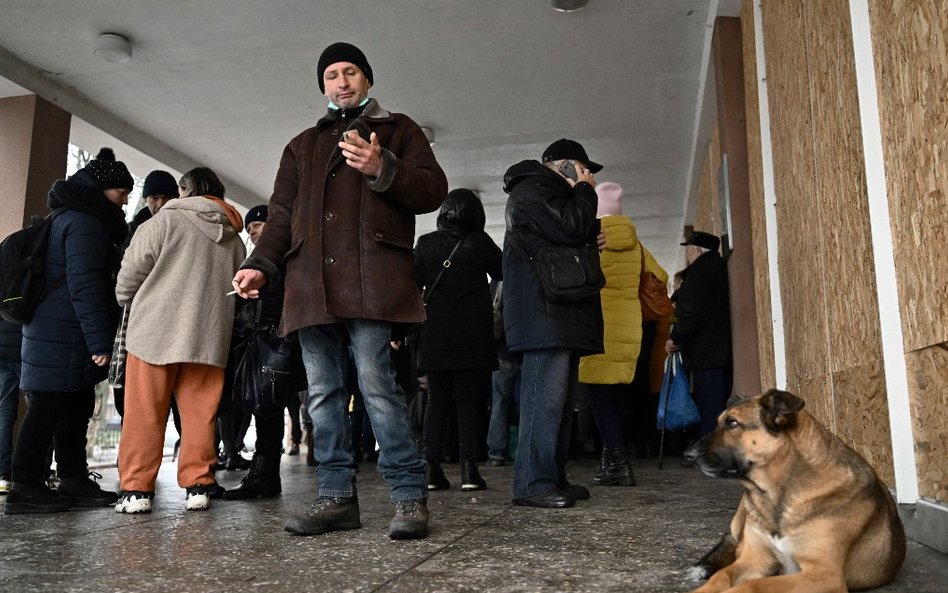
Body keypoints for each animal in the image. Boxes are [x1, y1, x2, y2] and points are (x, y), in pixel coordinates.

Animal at [680, 388, 904, 592]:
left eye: (733, 423)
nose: (687, 454)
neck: (779, 495)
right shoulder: (755, 560)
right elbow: (721, 576)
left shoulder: (825, 575)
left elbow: (754, 585)